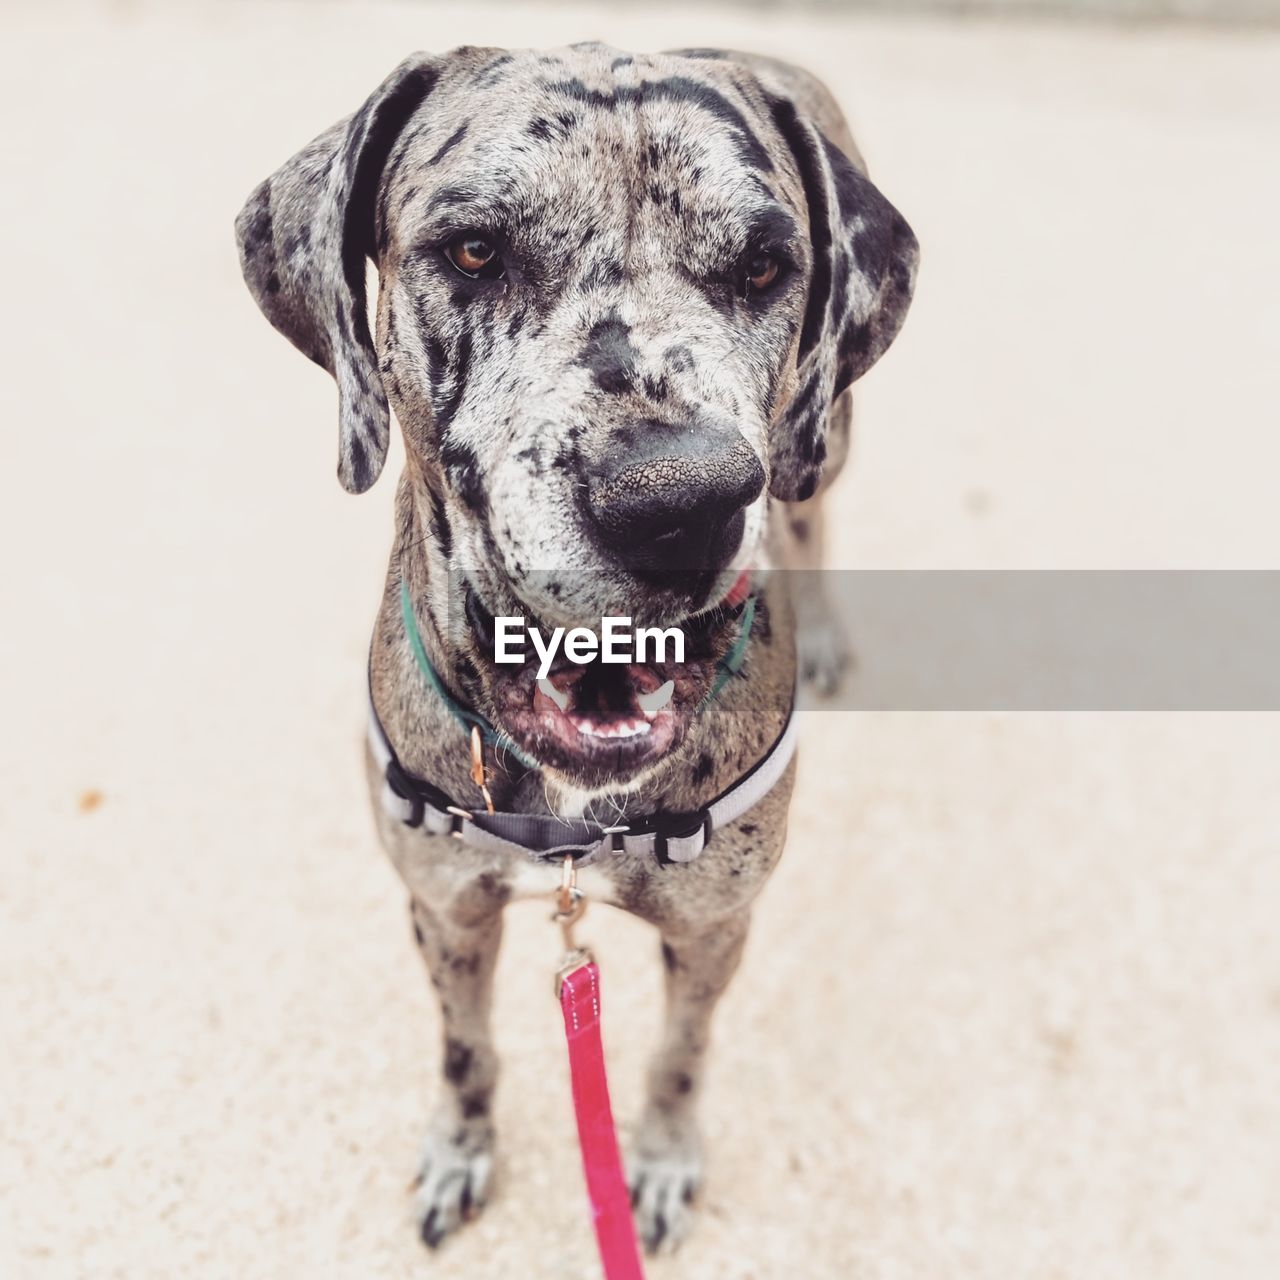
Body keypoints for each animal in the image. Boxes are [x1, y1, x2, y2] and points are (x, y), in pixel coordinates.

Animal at [235, 45, 916, 1254]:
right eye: (473, 249)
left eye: (762, 266)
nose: (678, 505)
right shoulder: (445, 908)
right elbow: (465, 1049)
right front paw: (461, 1150)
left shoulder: (713, 927)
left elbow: (680, 1057)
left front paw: (659, 1160)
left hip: (825, 440)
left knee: (814, 509)